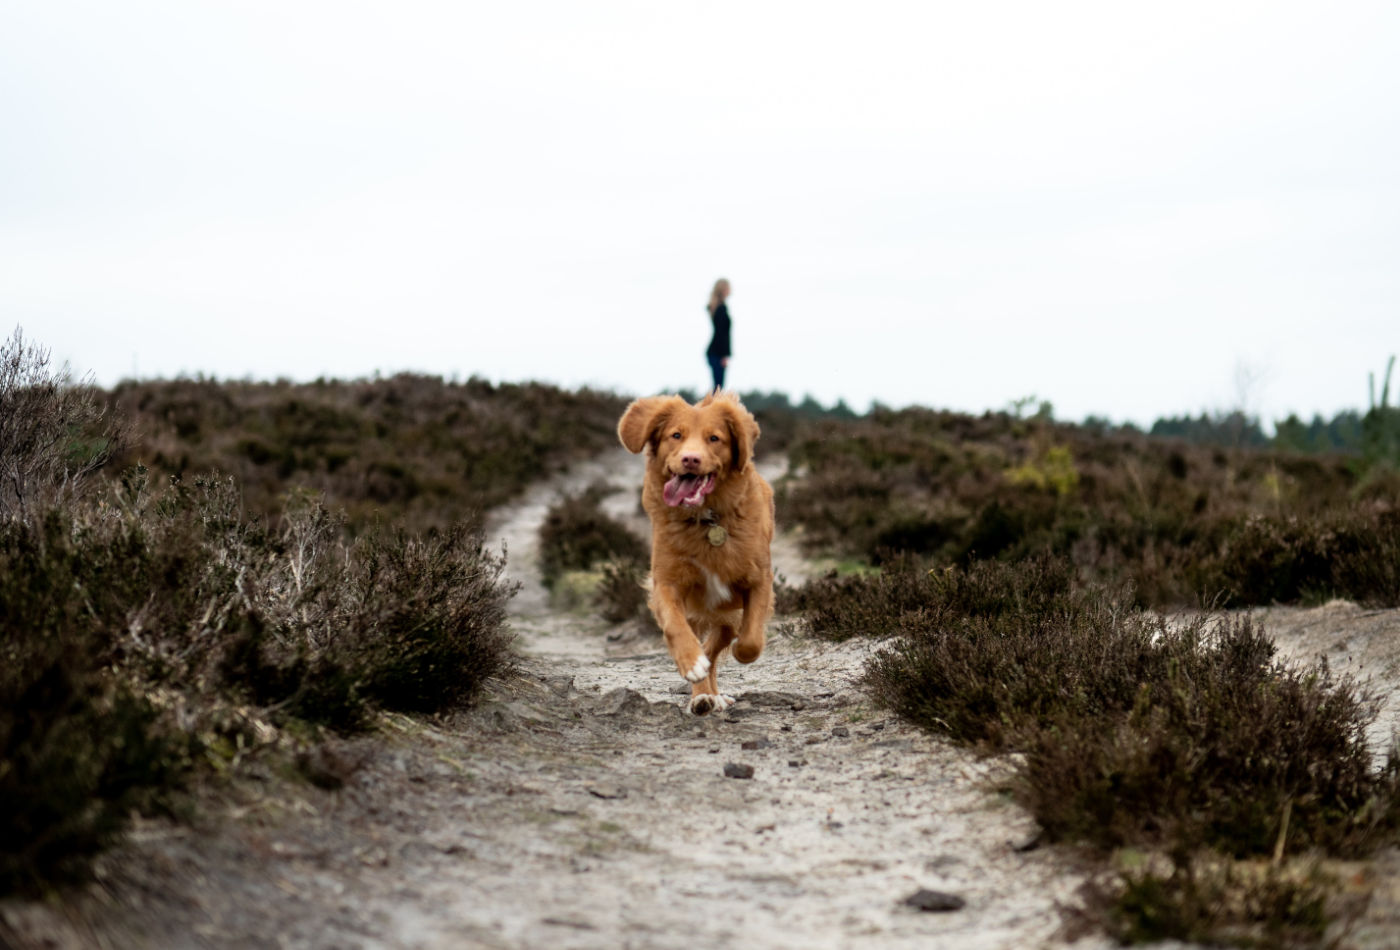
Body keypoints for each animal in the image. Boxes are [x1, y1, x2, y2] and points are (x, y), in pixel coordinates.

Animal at [618, 388, 778, 713]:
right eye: (676, 435)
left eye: (714, 438)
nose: (691, 459)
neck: (706, 518)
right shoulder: (667, 582)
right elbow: (676, 626)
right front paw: (692, 663)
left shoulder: (759, 580)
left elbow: (751, 639)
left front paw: (739, 653)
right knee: (705, 648)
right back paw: (703, 696)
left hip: (726, 615)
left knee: (717, 648)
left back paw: (712, 692)